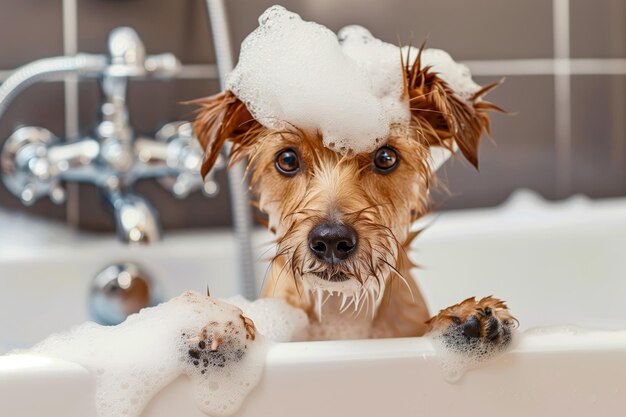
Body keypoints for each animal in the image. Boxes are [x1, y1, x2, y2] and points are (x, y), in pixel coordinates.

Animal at [193, 42, 516, 350]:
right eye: (287, 159)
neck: (340, 314)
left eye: (386, 157)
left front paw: (464, 316)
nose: (331, 240)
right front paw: (224, 324)